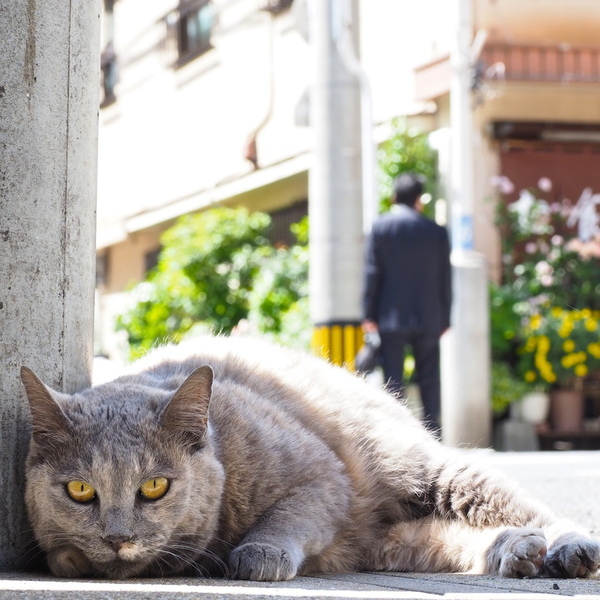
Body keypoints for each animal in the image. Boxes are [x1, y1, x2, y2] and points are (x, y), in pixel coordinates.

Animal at [21, 336, 596, 580]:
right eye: (80, 491)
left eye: (154, 487)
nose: (117, 538)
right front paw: (73, 558)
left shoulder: (323, 475)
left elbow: (291, 512)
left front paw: (260, 554)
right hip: (399, 544)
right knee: (456, 542)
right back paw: (518, 553)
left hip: (423, 469)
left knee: (525, 508)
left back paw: (567, 548)